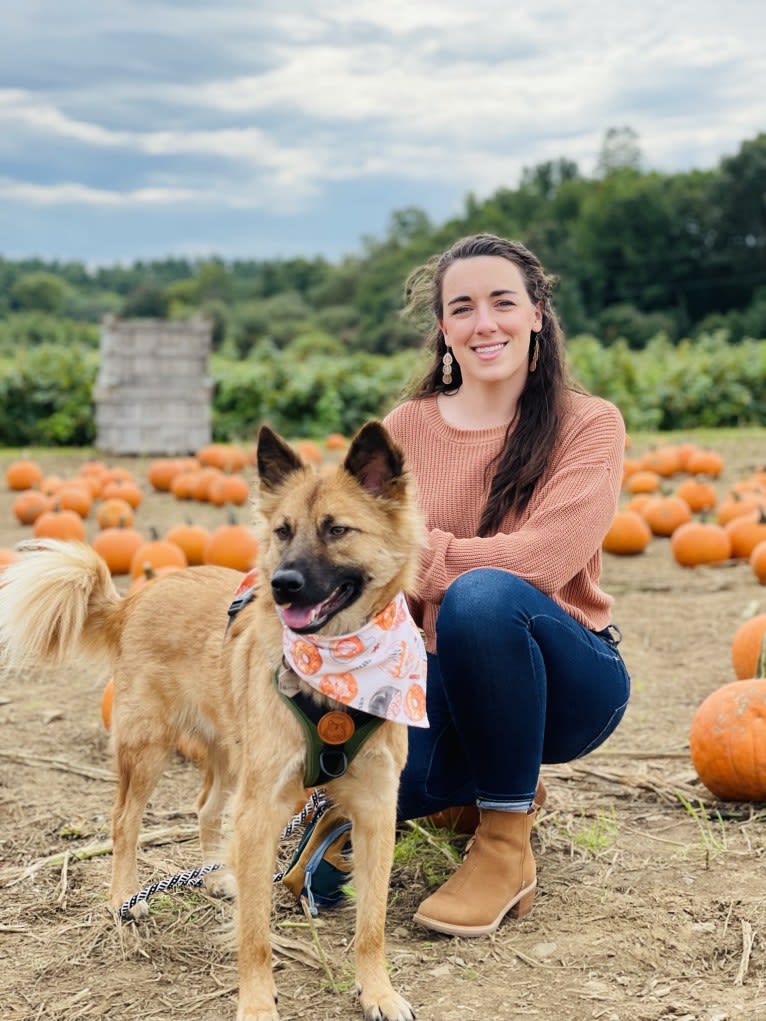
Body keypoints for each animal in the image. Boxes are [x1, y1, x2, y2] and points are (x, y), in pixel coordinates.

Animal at [0, 420, 420, 1021]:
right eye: (282, 531)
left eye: (337, 530)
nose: (282, 585)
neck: (336, 673)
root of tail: (137, 595)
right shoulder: (263, 809)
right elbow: (255, 935)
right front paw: (257, 1003)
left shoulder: (374, 809)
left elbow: (372, 923)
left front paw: (378, 990)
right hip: (148, 751)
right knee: (124, 822)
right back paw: (124, 898)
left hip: (227, 755)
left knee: (205, 809)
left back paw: (218, 875)